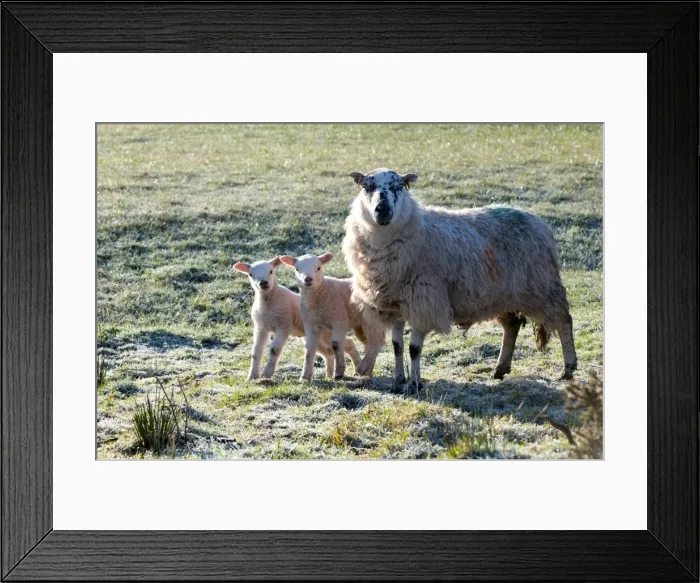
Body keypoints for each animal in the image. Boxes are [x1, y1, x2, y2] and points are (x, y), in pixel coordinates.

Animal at [342, 168, 577, 394]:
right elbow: (397, 346)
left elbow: (413, 349)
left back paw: (568, 368)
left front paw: (415, 385)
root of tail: (538, 222)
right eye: (367, 186)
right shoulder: (395, 304)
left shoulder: (425, 302)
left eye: (399, 186)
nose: (382, 210)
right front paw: (398, 382)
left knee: (563, 320)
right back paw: (500, 369)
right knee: (512, 325)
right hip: (505, 294)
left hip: (542, 286)